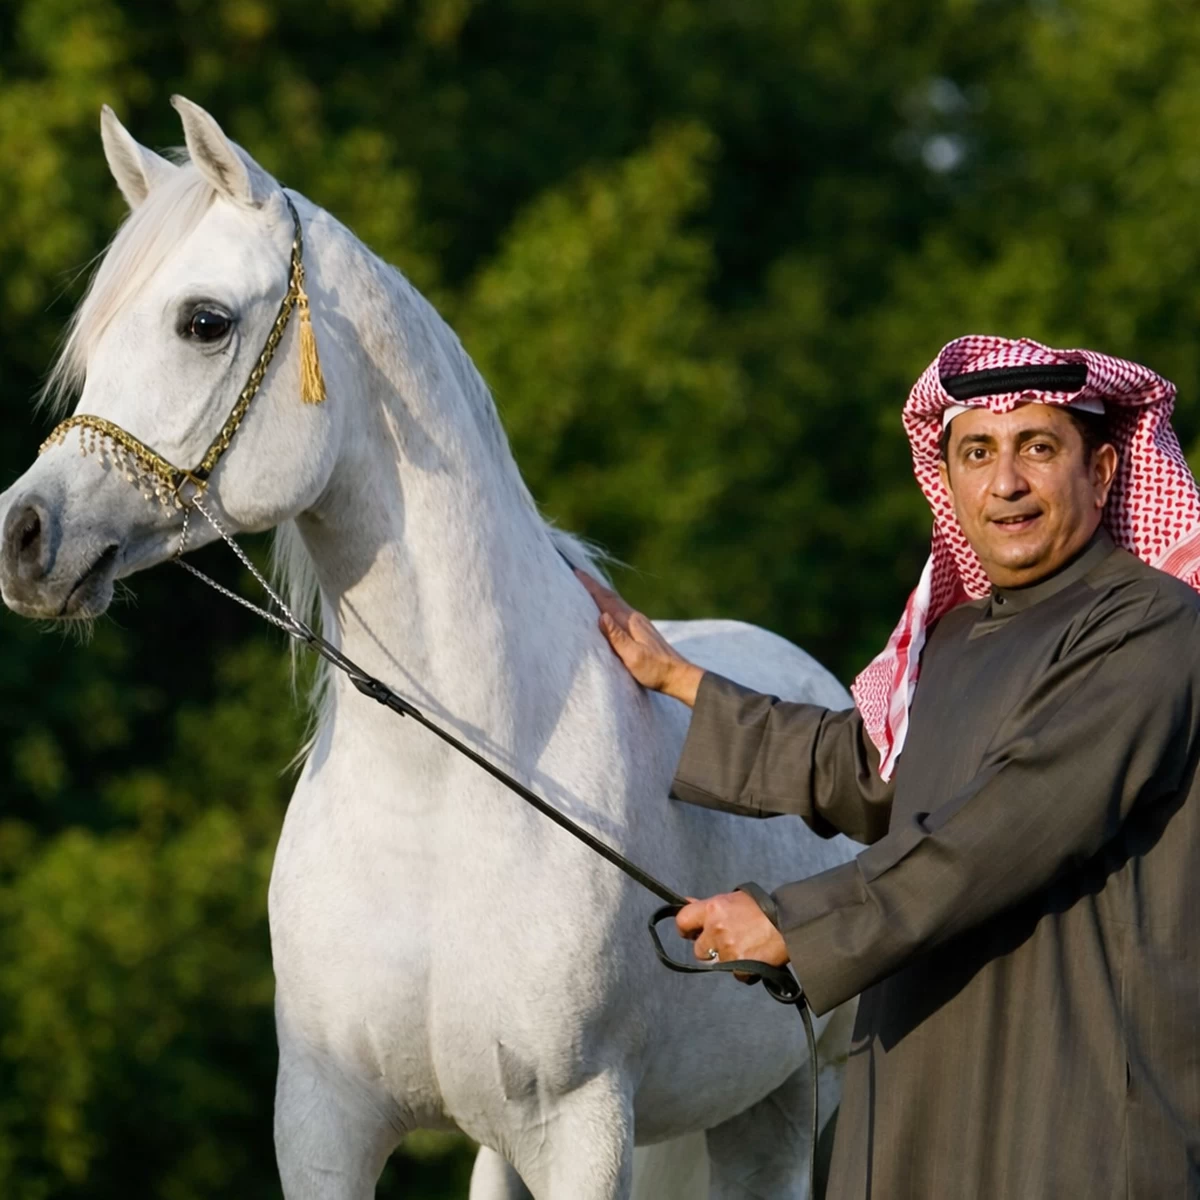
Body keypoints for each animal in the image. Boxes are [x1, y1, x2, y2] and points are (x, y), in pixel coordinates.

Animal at [0, 97, 858, 1199]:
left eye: (204, 322)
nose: (25, 539)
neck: (440, 795)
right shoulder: (324, 1126)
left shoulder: (583, 1129)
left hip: (782, 1108)